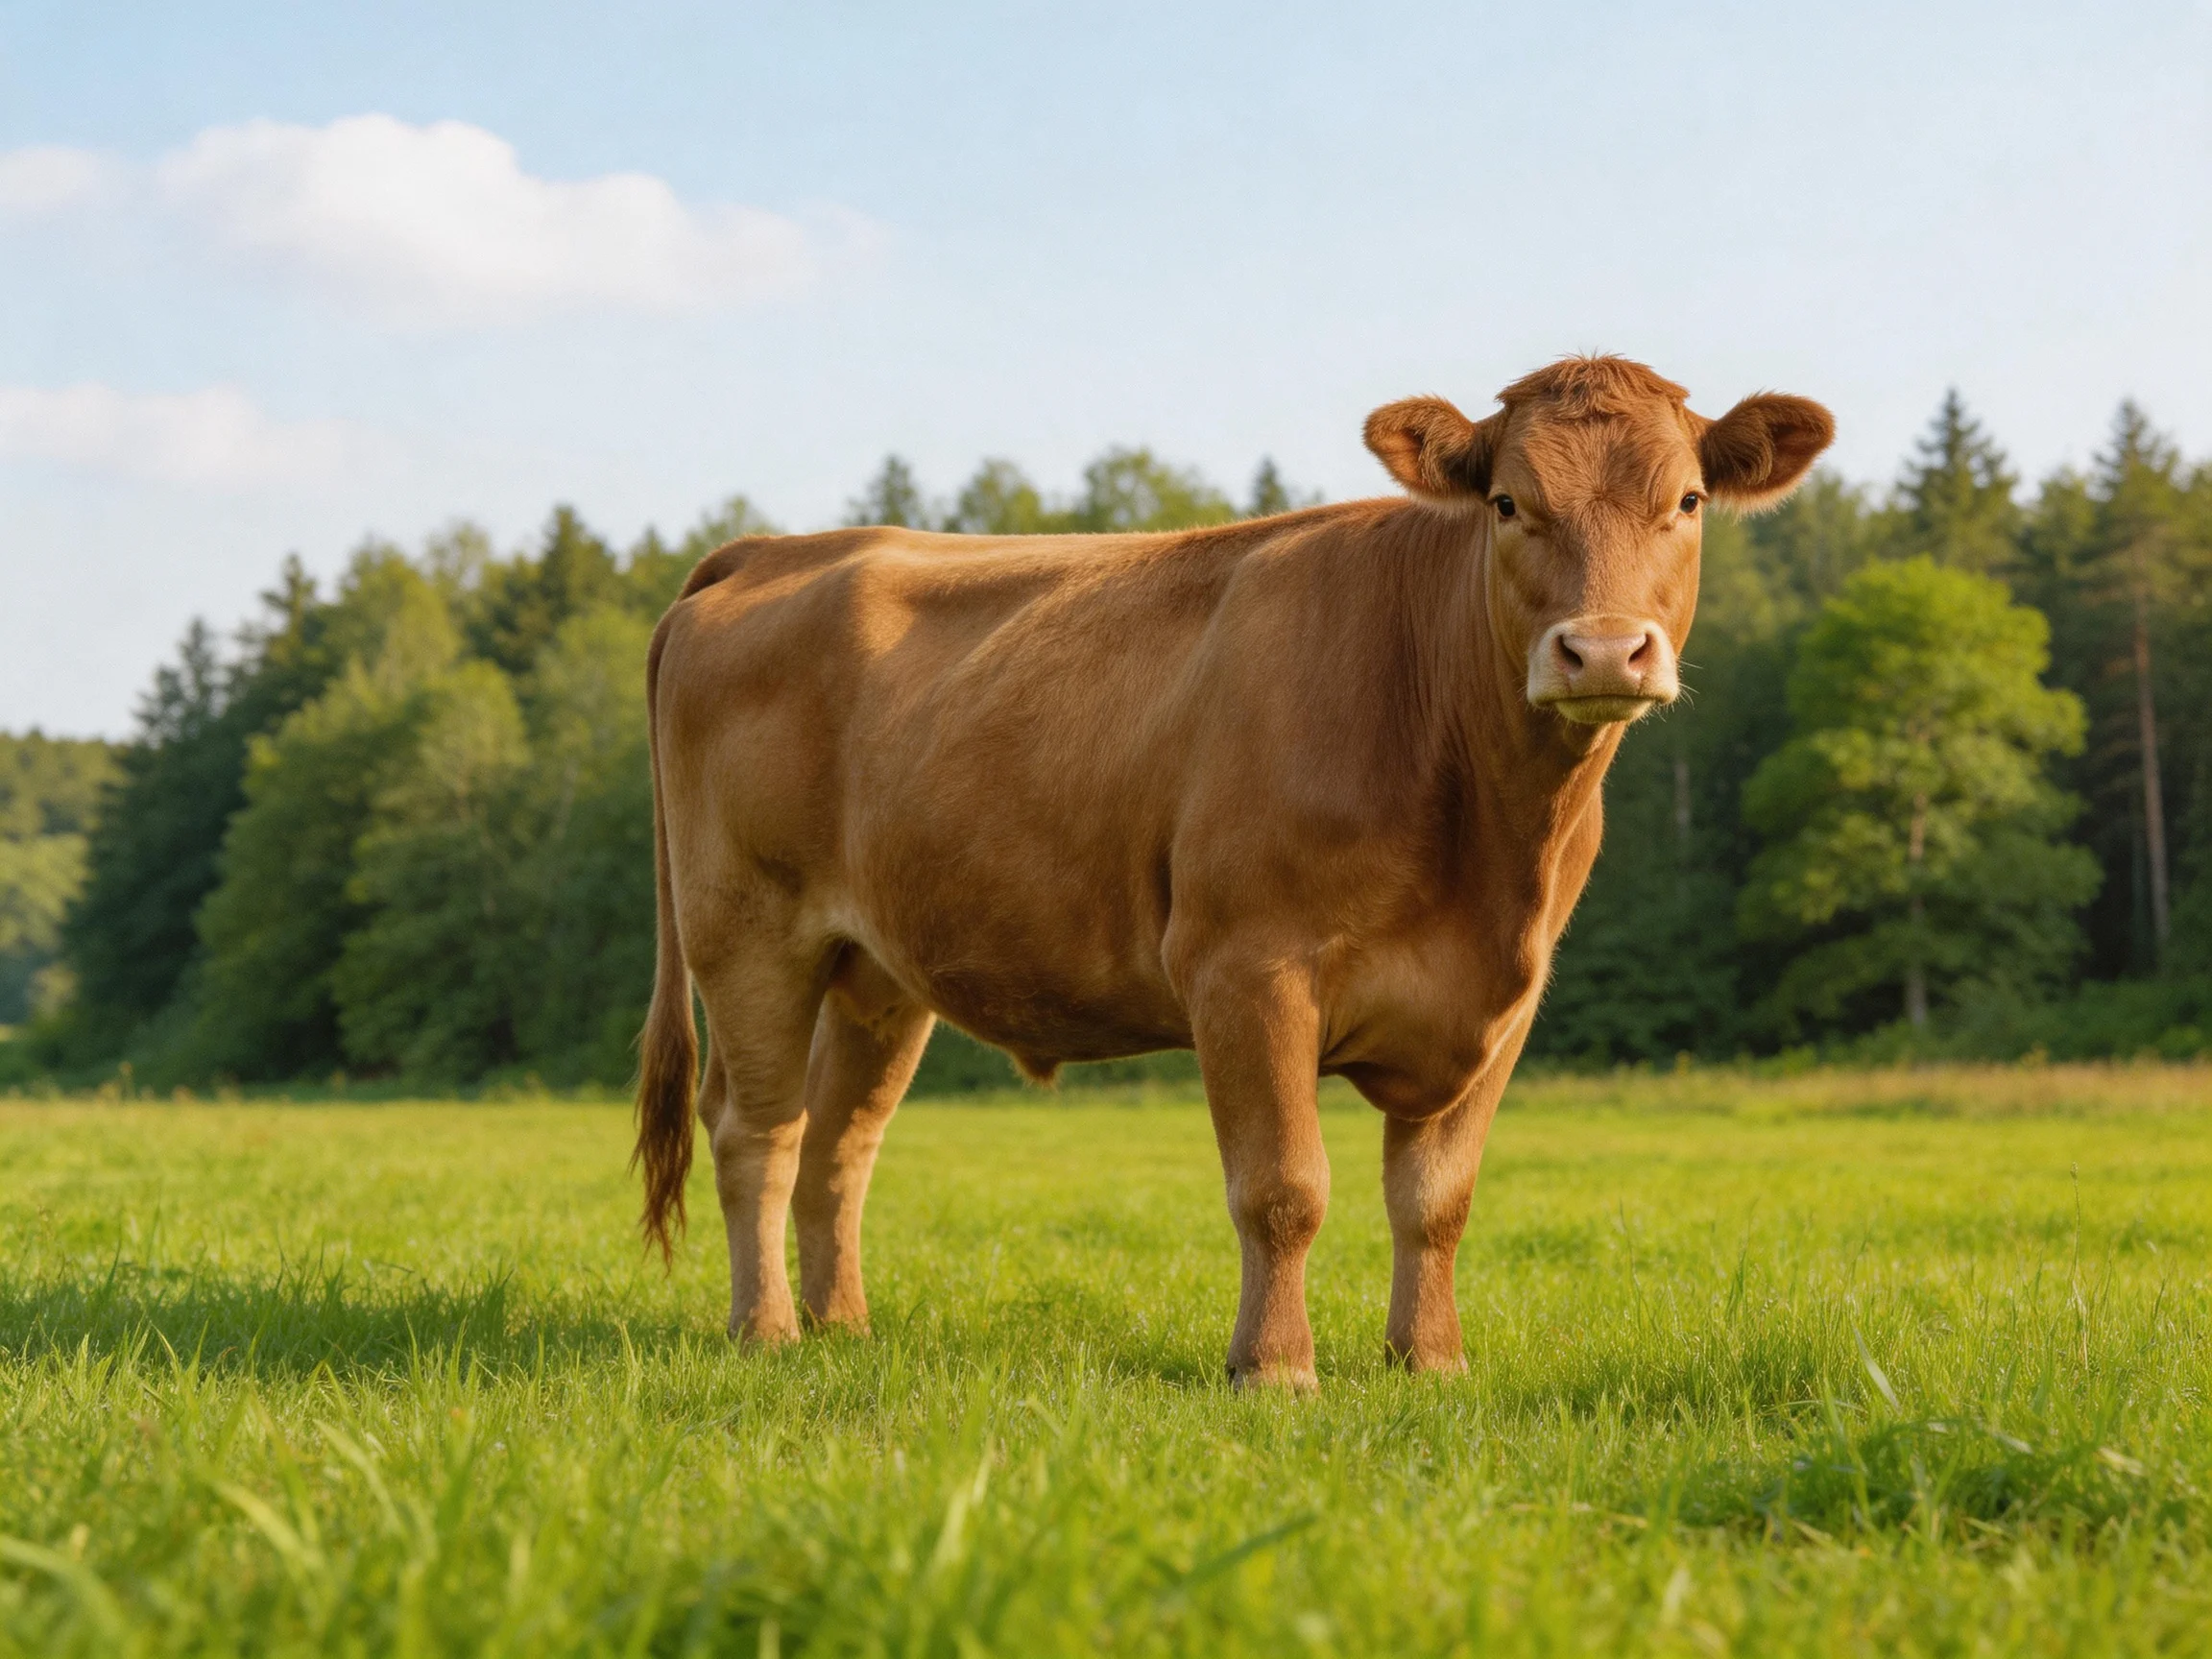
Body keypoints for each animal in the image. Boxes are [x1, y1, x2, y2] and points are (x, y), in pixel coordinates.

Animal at [633, 355, 1833, 1388]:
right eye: (1506, 503)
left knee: (842, 1143)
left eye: (1688, 500)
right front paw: (1274, 1368)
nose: (1602, 650)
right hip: (748, 934)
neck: (1487, 841)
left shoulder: (1504, 998)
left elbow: (1436, 1199)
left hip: (876, 970)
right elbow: (1283, 1188)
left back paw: (844, 1327)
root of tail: (777, 548)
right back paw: (767, 1331)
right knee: (757, 1132)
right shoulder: (1246, 965)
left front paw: (1430, 1360)